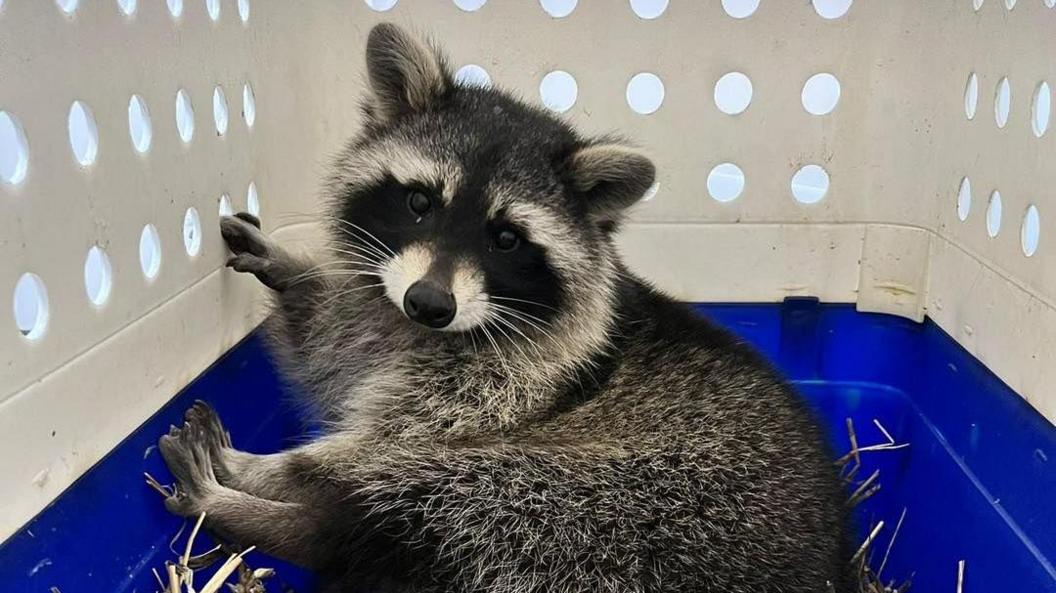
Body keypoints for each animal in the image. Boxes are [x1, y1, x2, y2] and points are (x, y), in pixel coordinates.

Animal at [160, 20, 853, 590]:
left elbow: (364, 452)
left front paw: (281, 471)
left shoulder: (506, 389)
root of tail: (829, 569)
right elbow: (324, 345)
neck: (418, 331)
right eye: (420, 202)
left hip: (630, 501)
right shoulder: (371, 316)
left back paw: (245, 501)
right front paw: (292, 270)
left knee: (406, 508)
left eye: (506, 239)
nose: (428, 302)